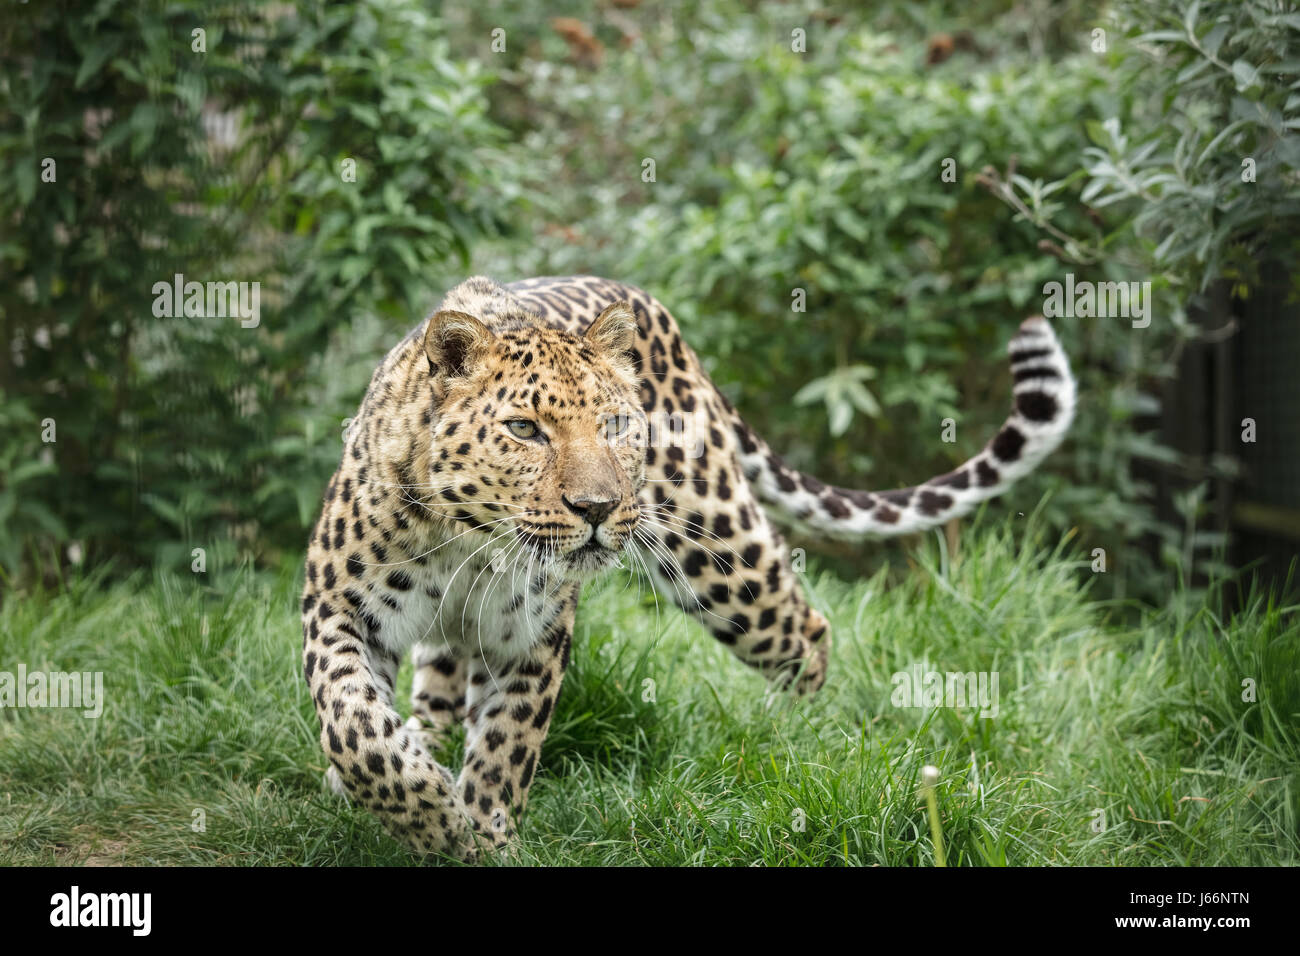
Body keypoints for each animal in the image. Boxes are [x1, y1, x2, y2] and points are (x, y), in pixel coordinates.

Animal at [300, 274, 1075, 860]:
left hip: (722, 558)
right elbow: (356, 726)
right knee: (434, 683)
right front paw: (427, 810)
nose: (596, 507)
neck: (472, 542)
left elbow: (504, 750)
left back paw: (790, 743)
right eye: (524, 429)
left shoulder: (534, 640)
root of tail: (643, 299)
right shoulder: (338, 607)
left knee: (807, 632)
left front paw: (480, 836)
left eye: (614, 425)